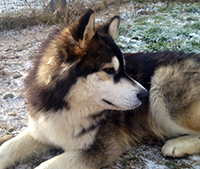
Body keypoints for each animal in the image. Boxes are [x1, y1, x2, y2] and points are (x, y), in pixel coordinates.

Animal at [0, 8, 200, 169]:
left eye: (124, 68)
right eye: (109, 70)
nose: (145, 95)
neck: (65, 105)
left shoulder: (101, 149)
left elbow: (44, 166)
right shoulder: (42, 128)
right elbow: (6, 149)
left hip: (162, 87)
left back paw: (177, 145)